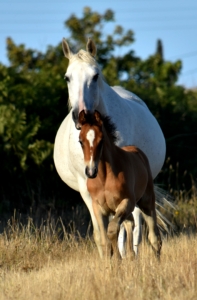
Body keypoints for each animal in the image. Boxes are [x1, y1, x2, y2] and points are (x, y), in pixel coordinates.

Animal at [53, 38, 166, 258]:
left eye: (95, 75)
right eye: (67, 77)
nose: (83, 114)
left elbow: (122, 227)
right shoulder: (87, 190)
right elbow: (100, 235)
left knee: (136, 228)